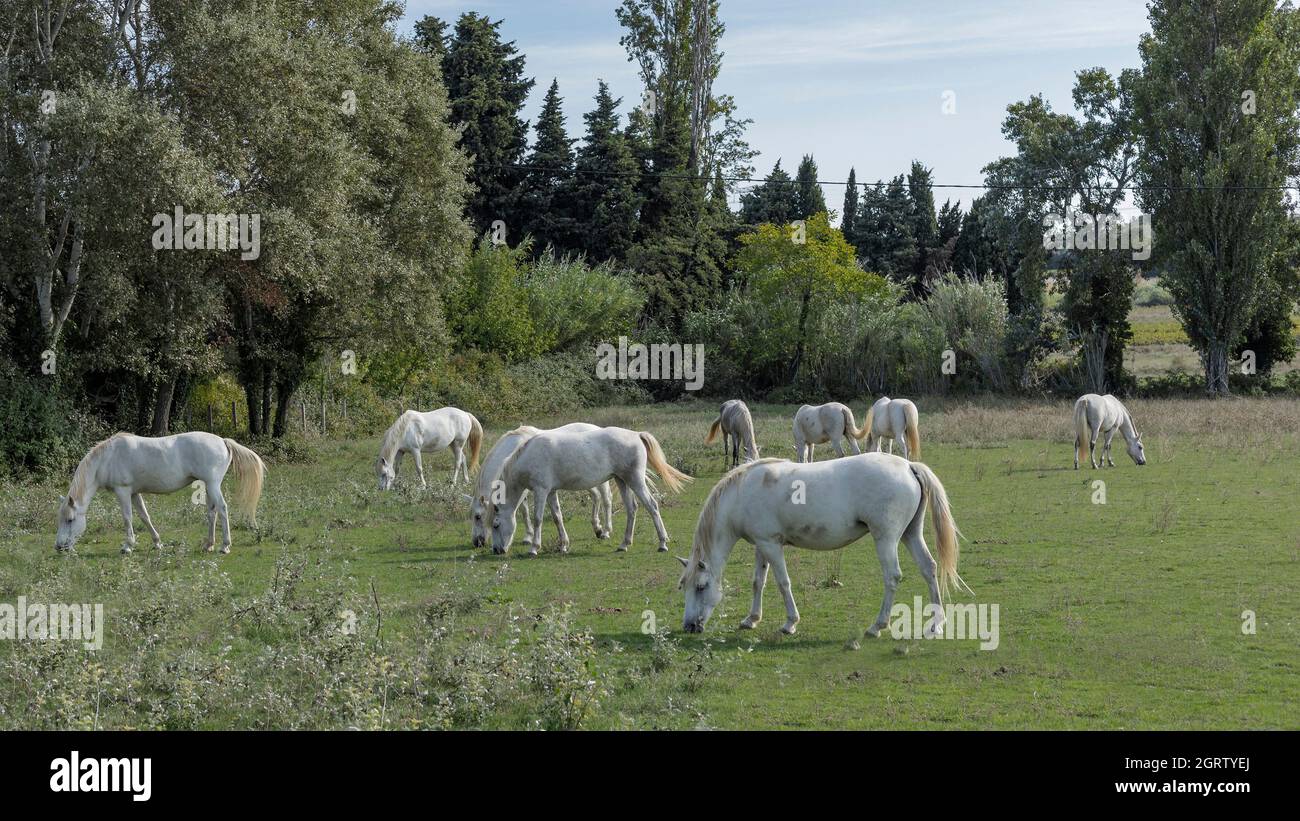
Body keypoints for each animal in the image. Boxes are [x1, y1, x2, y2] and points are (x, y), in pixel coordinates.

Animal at [55, 433, 266, 555]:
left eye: (71, 520)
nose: (59, 547)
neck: (108, 458)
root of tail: (223, 441)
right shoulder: (134, 493)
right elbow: (144, 516)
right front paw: (157, 543)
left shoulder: (123, 491)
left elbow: (127, 518)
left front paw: (127, 546)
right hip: (208, 486)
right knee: (212, 512)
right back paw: (209, 544)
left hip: (213, 485)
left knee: (222, 509)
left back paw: (225, 546)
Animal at [467, 423, 613, 550]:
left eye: (478, 517)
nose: (477, 542)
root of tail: (596, 427)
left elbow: (525, 511)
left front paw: (529, 538)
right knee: (596, 496)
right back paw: (597, 528)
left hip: (601, 481)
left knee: (606, 499)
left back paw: (606, 531)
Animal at [488, 426, 691, 555]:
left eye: (496, 525)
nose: (497, 550)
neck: (530, 455)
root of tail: (636, 435)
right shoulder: (551, 492)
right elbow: (557, 517)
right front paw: (563, 545)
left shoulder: (541, 491)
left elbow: (538, 519)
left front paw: (534, 548)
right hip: (622, 480)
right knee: (632, 508)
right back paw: (624, 544)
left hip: (635, 480)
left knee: (652, 506)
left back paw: (662, 543)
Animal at [681, 452, 967, 639]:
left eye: (701, 586)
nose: (689, 626)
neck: (743, 493)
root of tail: (908, 466)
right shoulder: (762, 545)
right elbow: (757, 582)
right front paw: (751, 619)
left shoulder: (771, 545)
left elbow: (783, 583)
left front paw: (790, 623)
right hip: (911, 534)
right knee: (929, 568)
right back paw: (935, 624)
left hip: (886, 539)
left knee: (892, 577)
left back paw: (877, 626)